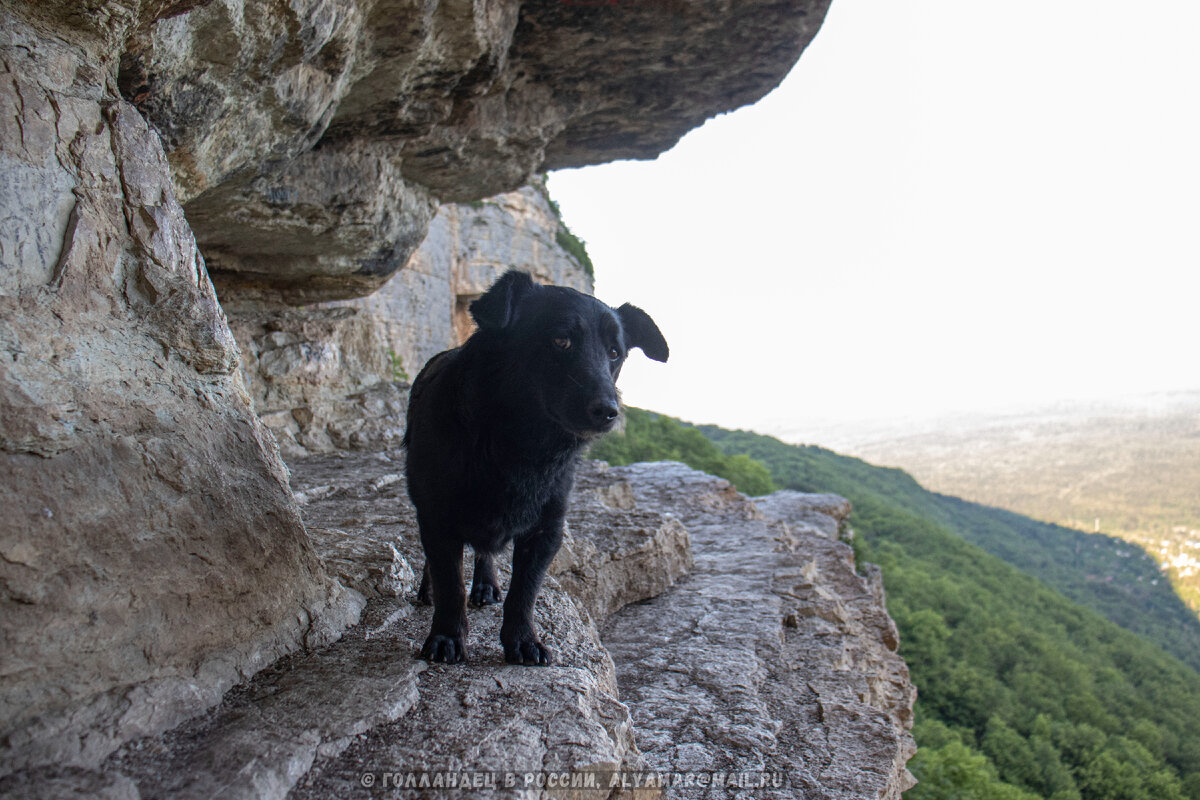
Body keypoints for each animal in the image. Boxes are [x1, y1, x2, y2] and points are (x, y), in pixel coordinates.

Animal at [400, 272, 667, 666]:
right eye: (561, 340)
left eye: (614, 353)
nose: (608, 411)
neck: (519, 445)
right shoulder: (437, 517)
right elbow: (450, 583)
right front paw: (447, 636)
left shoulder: (546, 530)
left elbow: (523, 592)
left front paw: (522, 640)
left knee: (485, 553)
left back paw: (486, 583)